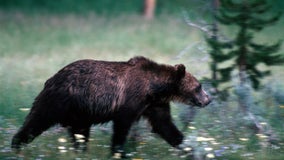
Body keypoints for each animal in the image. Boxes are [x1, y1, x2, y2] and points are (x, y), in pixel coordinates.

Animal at [11, 56, 211, 158]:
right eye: (199, 86)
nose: (208, 99)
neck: (154, 88)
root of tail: (51, 78)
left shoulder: (155, 105)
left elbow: (165, 126)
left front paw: (189, 149)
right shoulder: (131, 100)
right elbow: (122, 127)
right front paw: (117, 152)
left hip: (80, 113)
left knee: (80, 134)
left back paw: (81, 153)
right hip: (60, 101)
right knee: (36, 121)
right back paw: (15, 145)